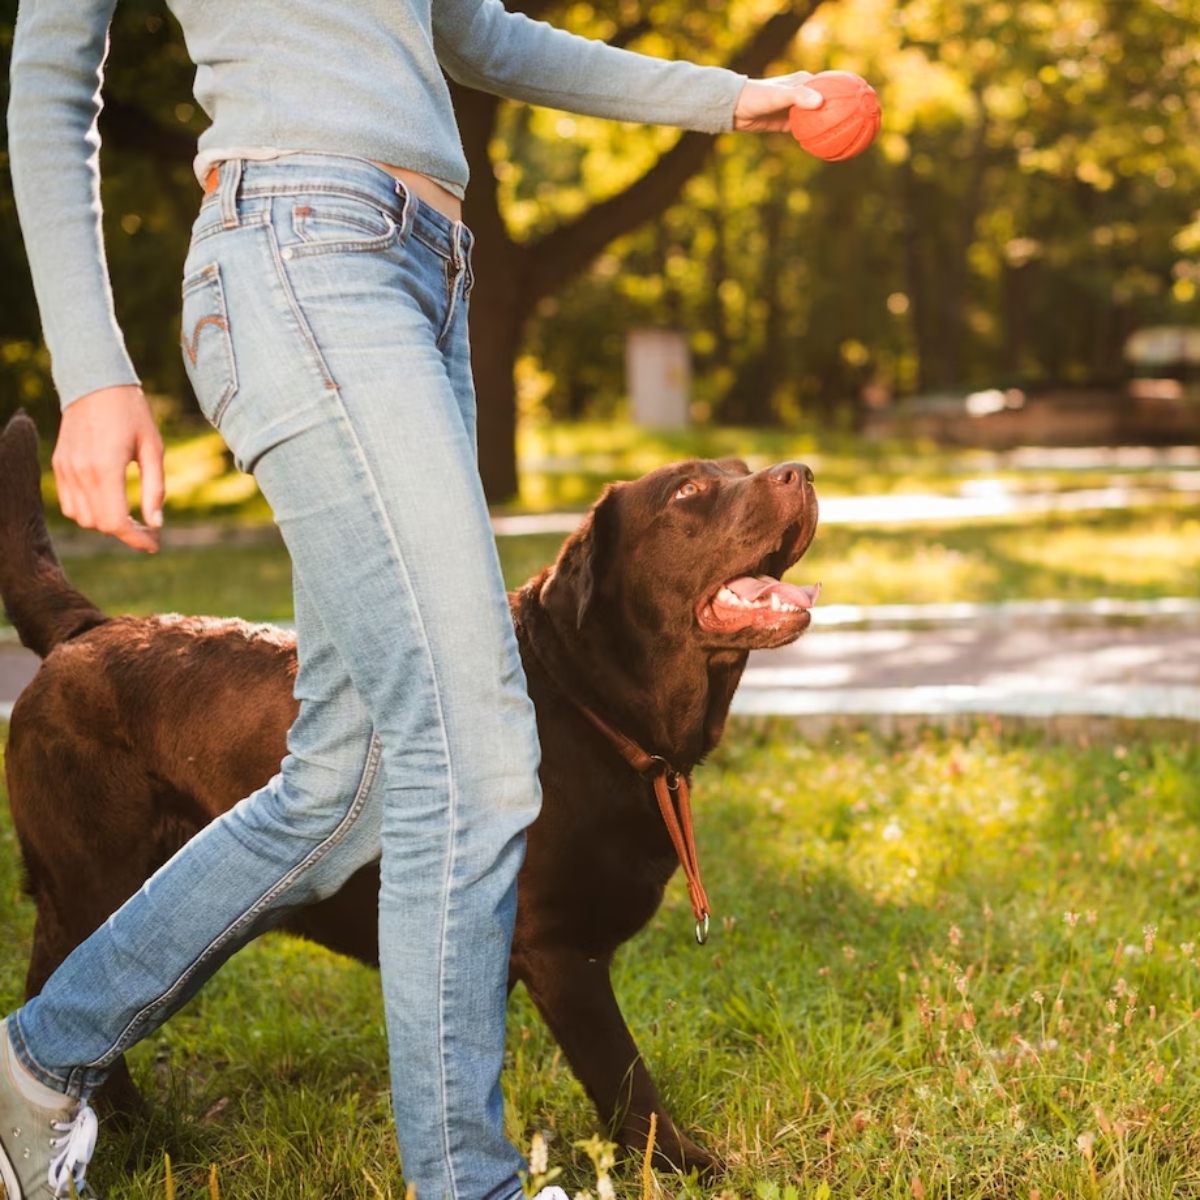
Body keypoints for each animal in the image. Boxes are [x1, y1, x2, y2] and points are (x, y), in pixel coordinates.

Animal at [0, 410, 816, 1171]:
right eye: (688, 492)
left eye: (740, 468)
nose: (801, 471)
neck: (591, 702)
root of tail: (85, 628)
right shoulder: (560, 950)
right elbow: (624, 1075)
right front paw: (686, 1163)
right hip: (95, 881)